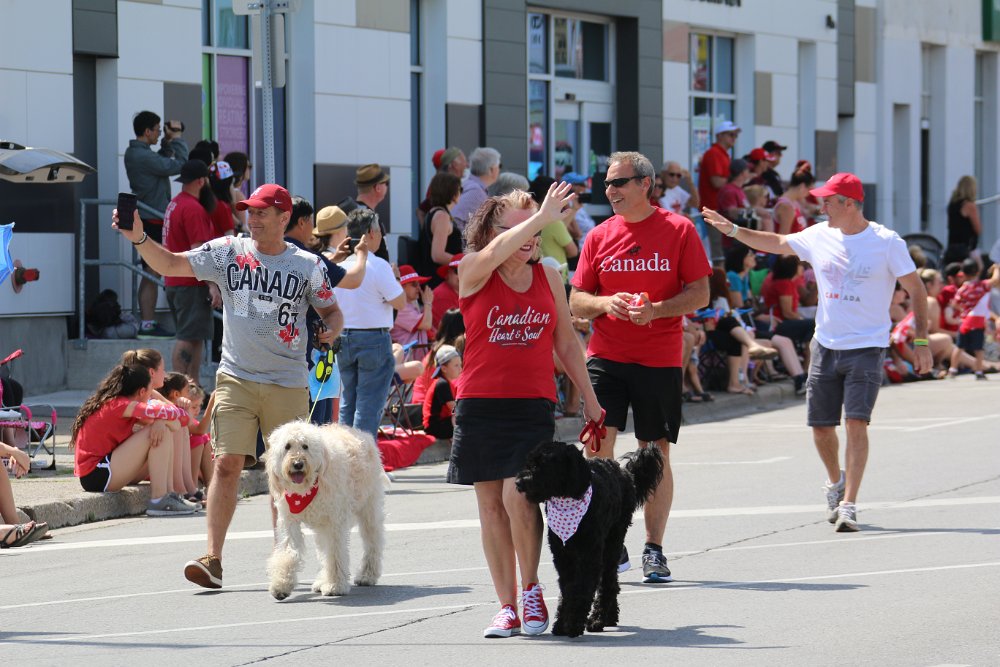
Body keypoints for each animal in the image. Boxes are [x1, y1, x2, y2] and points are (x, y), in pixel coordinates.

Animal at [264, 421, 386, 600]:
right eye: (287, 446)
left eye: (305, 446)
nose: (298, 464)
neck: (305, 489)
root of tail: (362, 433)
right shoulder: (290, 521)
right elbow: (289, 551)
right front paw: (281, 585)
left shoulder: (335, 523)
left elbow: (334, 554)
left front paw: (335, 586)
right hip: (322, 526)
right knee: (323, 552)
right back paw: (321, 581)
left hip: (369, 509)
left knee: (372, 543)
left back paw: (367, 575)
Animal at [515, 441, 663, 637]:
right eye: (530, 461)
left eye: (543, 463)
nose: (518, 482)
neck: (569, 496)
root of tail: (625, 473)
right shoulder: (563, 557)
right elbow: (568, 589)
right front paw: (561, 624)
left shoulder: (589, 557)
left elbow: (583, 589)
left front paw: (574, 624)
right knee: (611, 582)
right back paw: (609, 617)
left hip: (612, 544)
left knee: (608, 582)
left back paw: (598, 619)